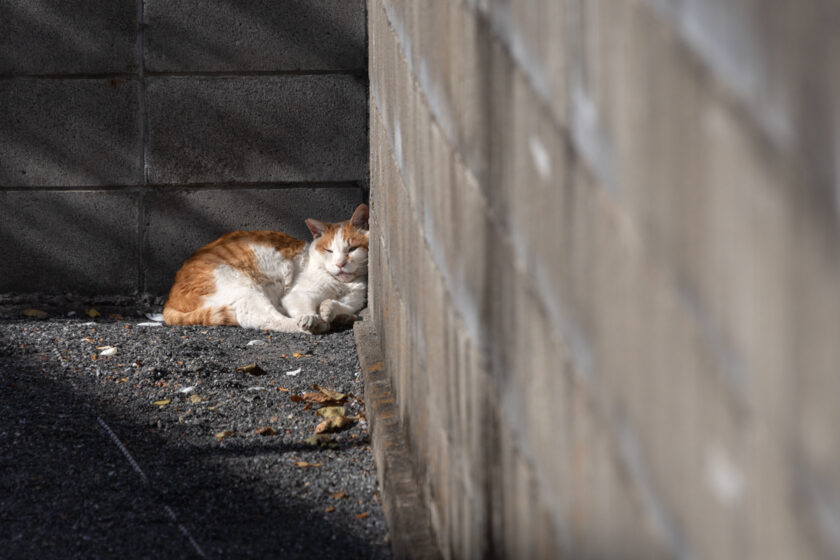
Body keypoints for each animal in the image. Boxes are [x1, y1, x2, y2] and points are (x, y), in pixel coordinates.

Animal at [162, 203, 370, 332]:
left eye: (352, 249)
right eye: (329, 250)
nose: (340, 263)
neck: (341, 284)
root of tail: (170, 299)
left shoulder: (354, 302)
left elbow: (339, 305)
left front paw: (330, 310)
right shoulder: (297, 295)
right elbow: (305, 309)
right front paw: (313, 317)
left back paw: (342, 319)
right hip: (245, 287)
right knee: (265, 319)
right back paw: (316, 325)